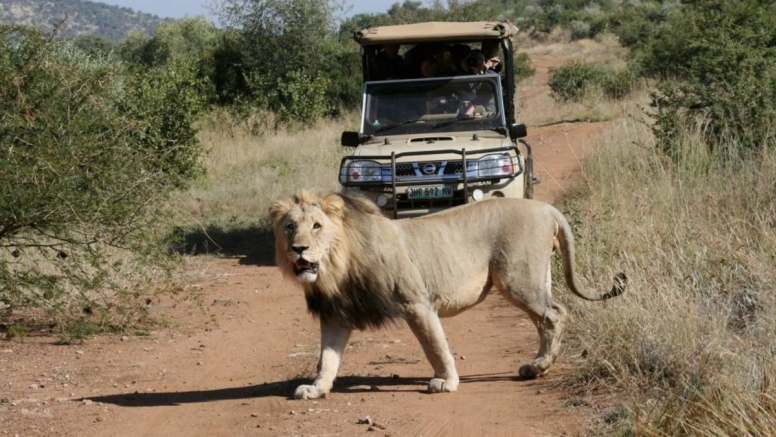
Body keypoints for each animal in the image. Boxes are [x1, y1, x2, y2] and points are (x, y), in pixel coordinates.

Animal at [270, 191, 628, 398]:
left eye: (316, 226)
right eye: (290, 227)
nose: (298, 249)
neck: (336, 267)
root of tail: (546, 208)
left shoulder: (416, 302)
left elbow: (435, 346)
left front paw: (446, 381)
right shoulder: (336, 314)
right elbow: (327, 358)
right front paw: (316, 388)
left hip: (517, 279)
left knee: (555, 314)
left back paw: (540, 365)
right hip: (535, 278)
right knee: (546, 319)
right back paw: (537, 367)